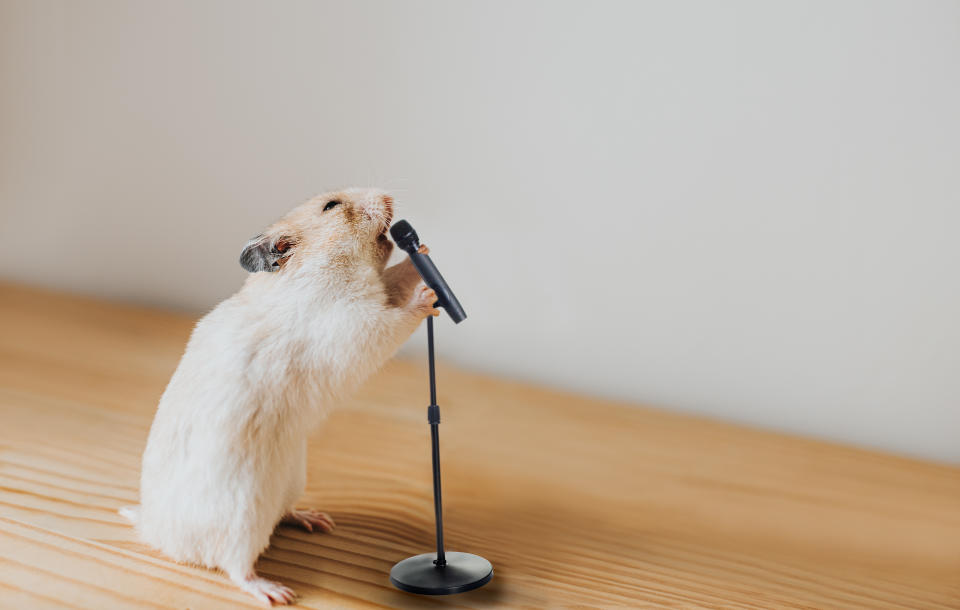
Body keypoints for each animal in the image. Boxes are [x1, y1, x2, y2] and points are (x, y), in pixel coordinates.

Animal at [118, 186, 440, 604]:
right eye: (331, 206)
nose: (387, 193)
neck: (324, 269)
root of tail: (156, 533)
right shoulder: (357, 323)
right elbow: (396, 317)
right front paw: (428, 295)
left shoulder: (377, 290)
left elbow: (396, 276)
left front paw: (425, 253)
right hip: (243, 522)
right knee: (234, 567)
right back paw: (278, 593)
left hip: (291, 480)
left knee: (282, 517)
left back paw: (317, 521)